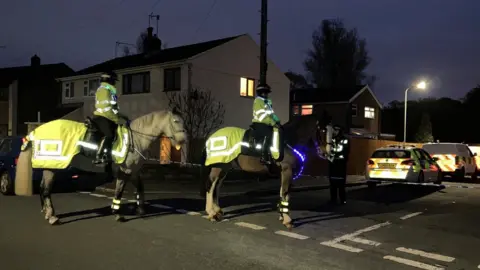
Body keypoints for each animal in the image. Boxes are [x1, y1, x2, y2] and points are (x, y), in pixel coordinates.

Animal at [15, 108, 188, 225]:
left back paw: (47, 213)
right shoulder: (124, 171)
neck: (136, 139)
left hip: (49, 167)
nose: (184, 140)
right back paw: (52, 217)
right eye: (176, 121)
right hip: (52, 166)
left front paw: (141, 210)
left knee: (43, 188)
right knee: (45, 190)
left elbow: (140, 188)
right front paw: (118, 214)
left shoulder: (133, 171)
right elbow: (119, 191)